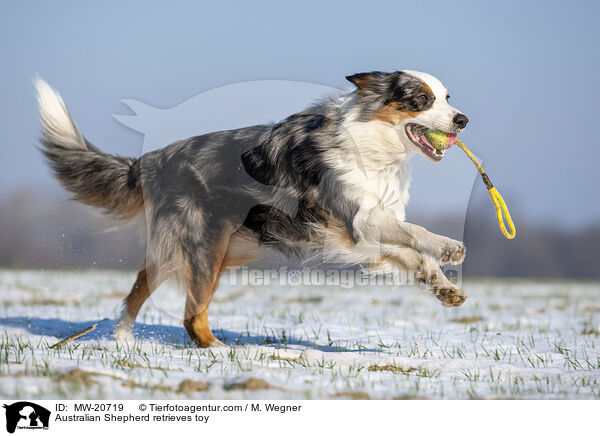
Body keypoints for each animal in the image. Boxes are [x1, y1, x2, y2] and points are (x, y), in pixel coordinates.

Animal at [36, 70, 468, 348]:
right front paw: (448, 247)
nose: (463, 119)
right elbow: (416, 234)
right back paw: (218, 350)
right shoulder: (356, 218)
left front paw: (442, 286)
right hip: (205, 245)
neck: (376, 143)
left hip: (220, 247)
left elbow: (412, 254)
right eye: (421, 99)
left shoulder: (365, 234)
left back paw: (122, 337)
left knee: (145, 278)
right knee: (190, 314)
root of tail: (154, 159)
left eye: (448, 98)